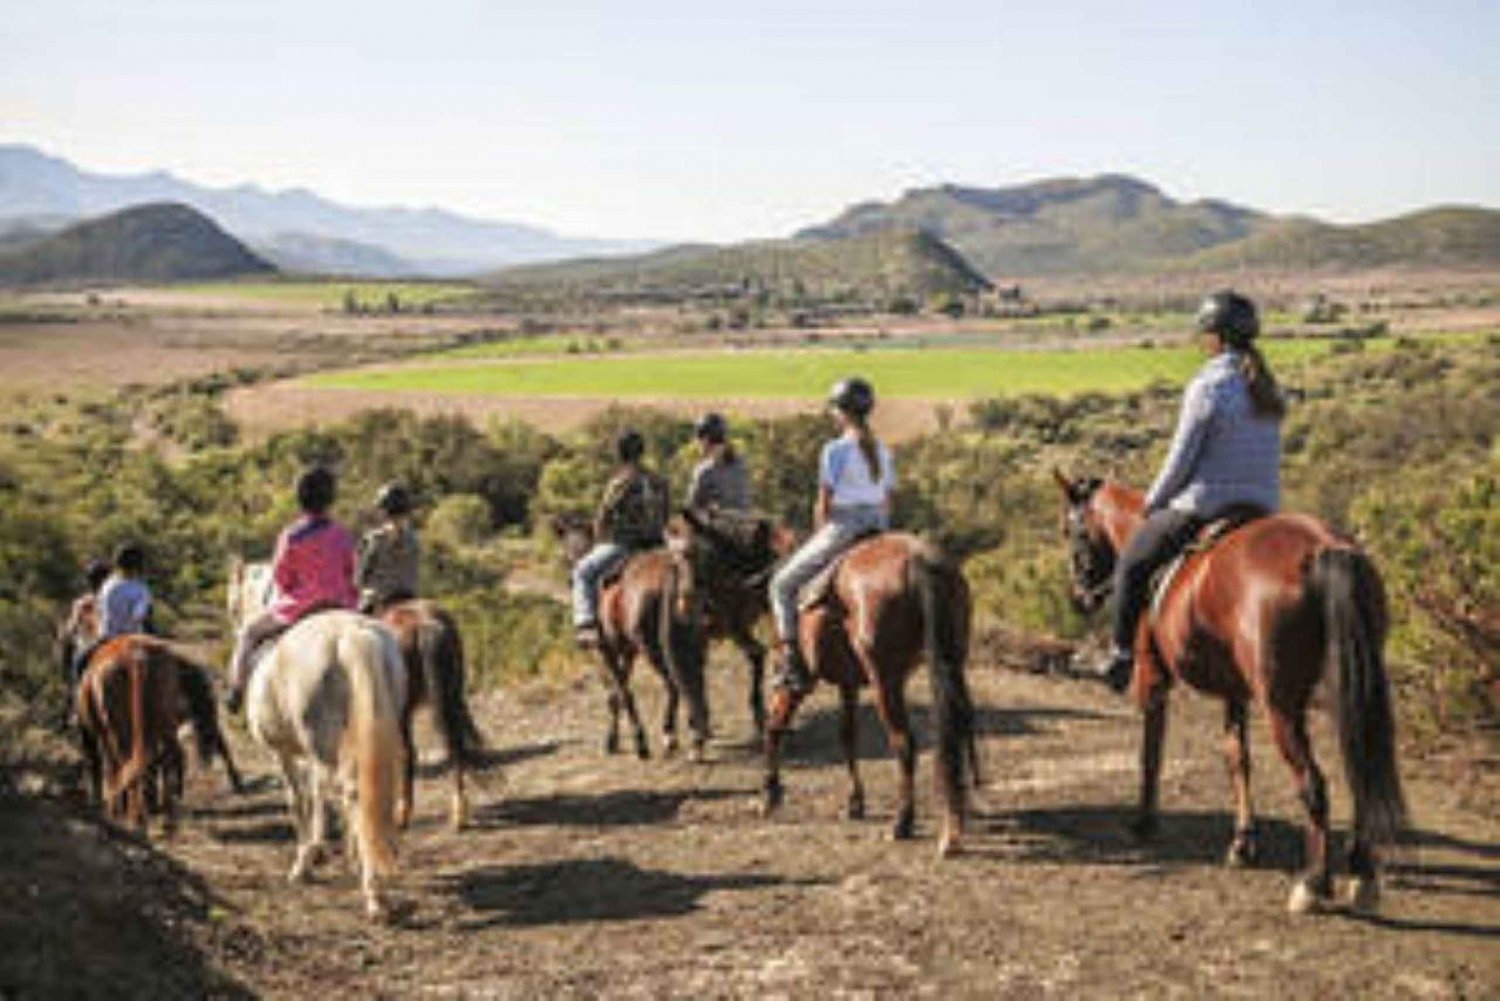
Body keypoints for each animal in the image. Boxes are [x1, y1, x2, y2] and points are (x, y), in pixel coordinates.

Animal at [75, 639, 240, 834]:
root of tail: (135, 657)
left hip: (123, 734)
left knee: (127, 765)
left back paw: (133, 817)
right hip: (156, 727)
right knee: (158, 761)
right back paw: (159, 816)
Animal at [225, 561, 408, 918]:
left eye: (232, 607)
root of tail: (351, 635)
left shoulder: (283, 752)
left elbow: (299, 799)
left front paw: (306, 861)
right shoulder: (315, 754)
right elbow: (318, 793)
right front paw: (334, 851)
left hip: (321, 744)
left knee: (350, 792)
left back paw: (372, 892)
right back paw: (368, 858)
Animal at [756, 537, 978, 858]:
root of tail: (919, 559)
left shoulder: (796, 682)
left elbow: (774, 726)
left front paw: (770, 793)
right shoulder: (848, 683)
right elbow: (847, 736)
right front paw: (855, 802)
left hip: (884, 679)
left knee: (903, 742)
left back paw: (902, 823)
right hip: (950, 663)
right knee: (952, 736)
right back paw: (953, 827)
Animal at [1056, 471, 1404, 918]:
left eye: (1073, 530)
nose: (1079, 598)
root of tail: (1325, 548)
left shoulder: (1153, 678)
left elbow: (1151, 753)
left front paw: (1145, 822)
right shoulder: (1234, 690)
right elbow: (1237, 758)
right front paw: (1243, 843)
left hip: (1281, 706)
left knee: (1313, 784)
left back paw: (1313, 883)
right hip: (1343, 692)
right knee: (1356, 771)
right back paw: (1361, 874)